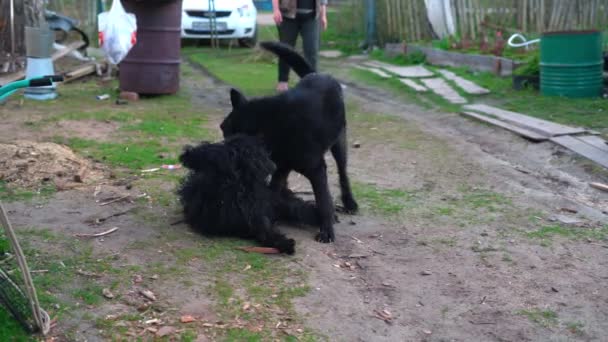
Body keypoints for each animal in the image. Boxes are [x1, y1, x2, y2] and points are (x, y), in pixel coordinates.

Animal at [221, 40, 358, 243]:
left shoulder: (317, 169)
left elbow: (323, 199)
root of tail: (316, 74)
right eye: (223, 130)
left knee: (343, 173)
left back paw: (349, 202)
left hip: (339, 143)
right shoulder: (281, 167)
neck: (271, 124)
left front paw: (327, 229)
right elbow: (272, 192)